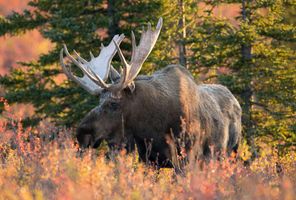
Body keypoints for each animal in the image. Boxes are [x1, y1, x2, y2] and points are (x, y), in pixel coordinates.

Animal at [59, 18, 240, 168]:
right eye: (99, 101)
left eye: (114, 103)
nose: (82, 134)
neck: (151, 128)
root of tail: (236, 100)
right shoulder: (148, 159)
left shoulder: (186, 157)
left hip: (230, 152)